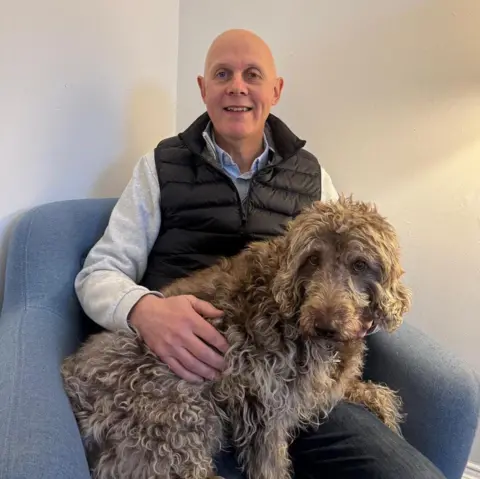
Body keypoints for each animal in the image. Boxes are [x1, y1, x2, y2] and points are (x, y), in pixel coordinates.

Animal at [61, 196, 412, 479]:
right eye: (313, 259)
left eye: (359, 264)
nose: (325, 325)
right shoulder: (265, 403)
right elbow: (269, 463)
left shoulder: (317, 389)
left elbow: (378, 393)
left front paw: (388, 414)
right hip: (180, 410)